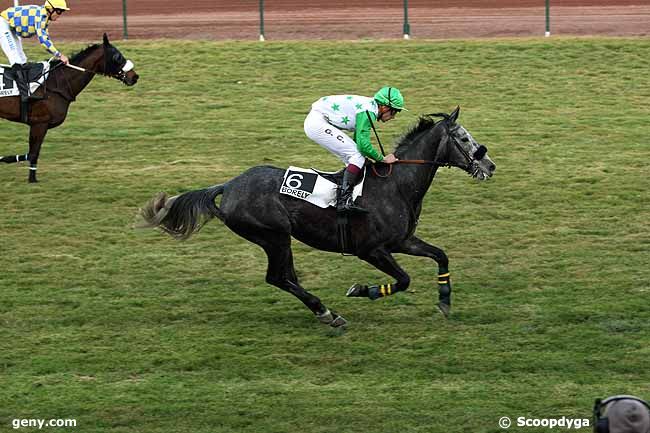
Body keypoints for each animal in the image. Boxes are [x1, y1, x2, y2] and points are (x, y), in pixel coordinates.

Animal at [0, 33, 138, 182]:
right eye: (117, 56)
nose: (134, 76)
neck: (56, 82)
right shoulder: (39, 123)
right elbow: (33, 153)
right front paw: (32, 179)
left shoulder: (40, 125)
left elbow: (32, 153)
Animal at [135, 108, 492, 328]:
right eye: (463, 138)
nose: (490, 165)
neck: (395, 184)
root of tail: (229, 185)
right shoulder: (371, 249)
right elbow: (403, 280)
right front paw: (364, 290)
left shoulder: (402, 240)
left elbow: (441, 255)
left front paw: (445, 300)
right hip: (273, 236)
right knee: (278, 277)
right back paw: (326, 312)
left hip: (278, 239)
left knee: (286, 277)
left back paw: (323, 311)